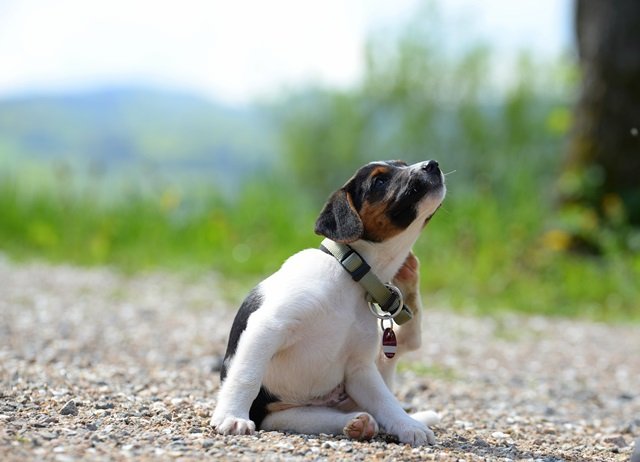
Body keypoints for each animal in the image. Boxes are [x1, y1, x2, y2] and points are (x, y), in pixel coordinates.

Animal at [210, 160, 444, 444]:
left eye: (403, 164)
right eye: (379, 181)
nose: (432, 165)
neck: (349, 276)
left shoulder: (359, 369)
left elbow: (387, 402)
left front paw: (408, 425)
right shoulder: (267, 327)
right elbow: (246, 375)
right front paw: (233, 416)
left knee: (407, 344)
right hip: (286, 416)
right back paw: (360, 423)